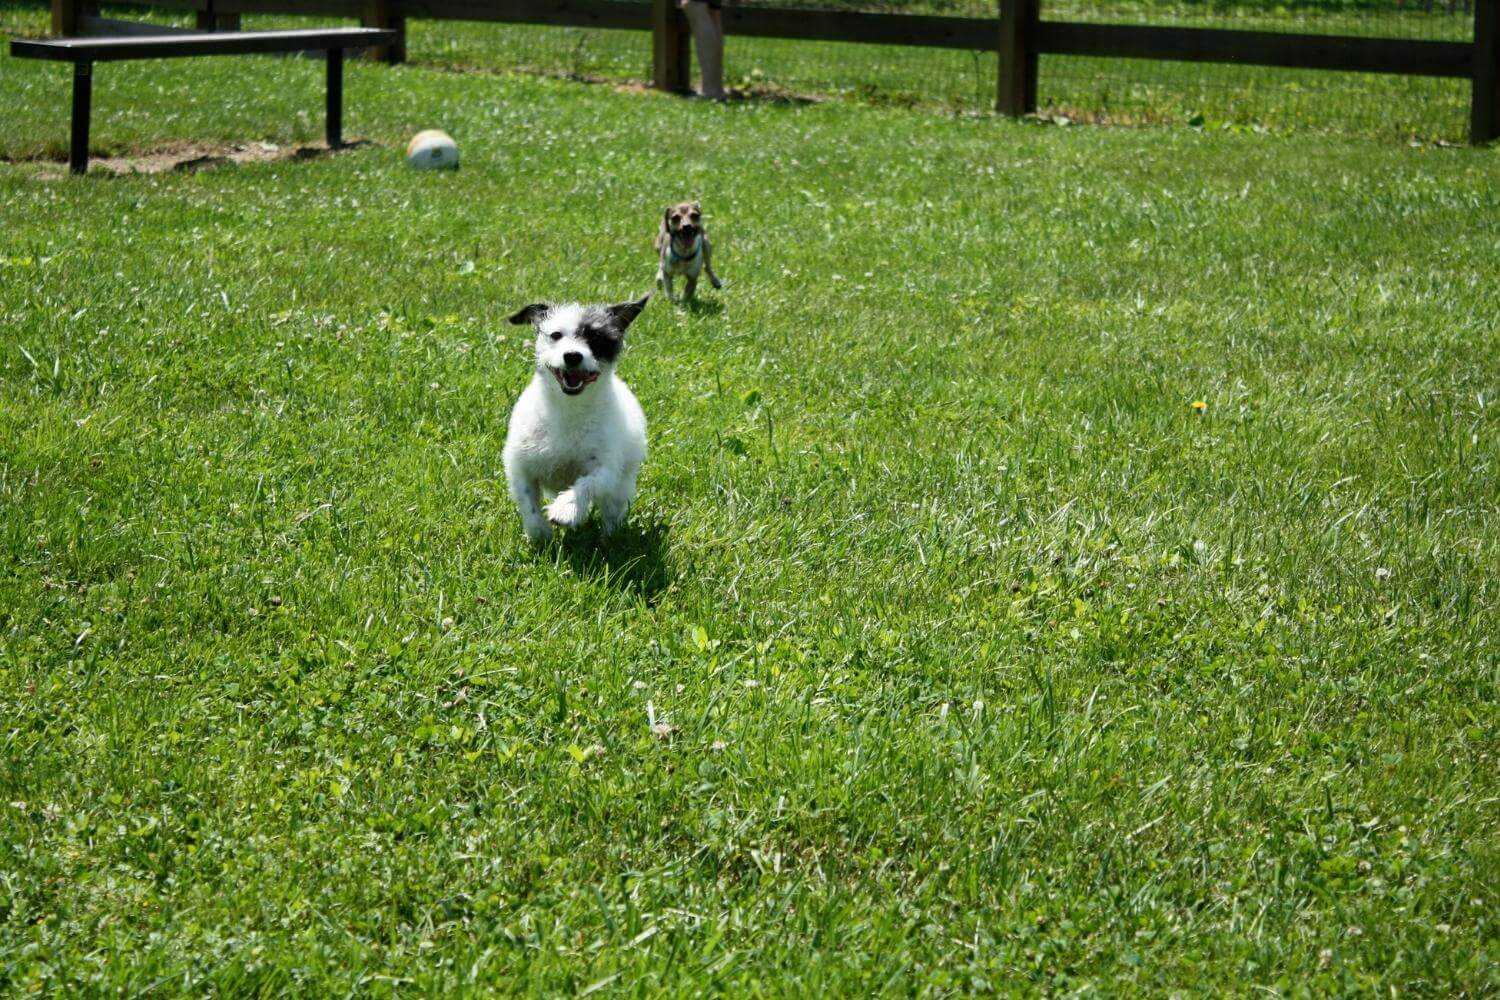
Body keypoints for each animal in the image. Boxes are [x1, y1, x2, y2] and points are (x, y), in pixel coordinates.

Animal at [504, 296, 651, 548]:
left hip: (622, 484)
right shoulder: (519, 465)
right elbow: (527, 501)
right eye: (556, 335)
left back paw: (608, 538)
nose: (572, 355)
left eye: (597, 338)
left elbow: (589, 483)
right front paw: (538, 533)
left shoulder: (607, 468)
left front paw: (567, 508)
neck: (569, 409)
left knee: (612, 510)